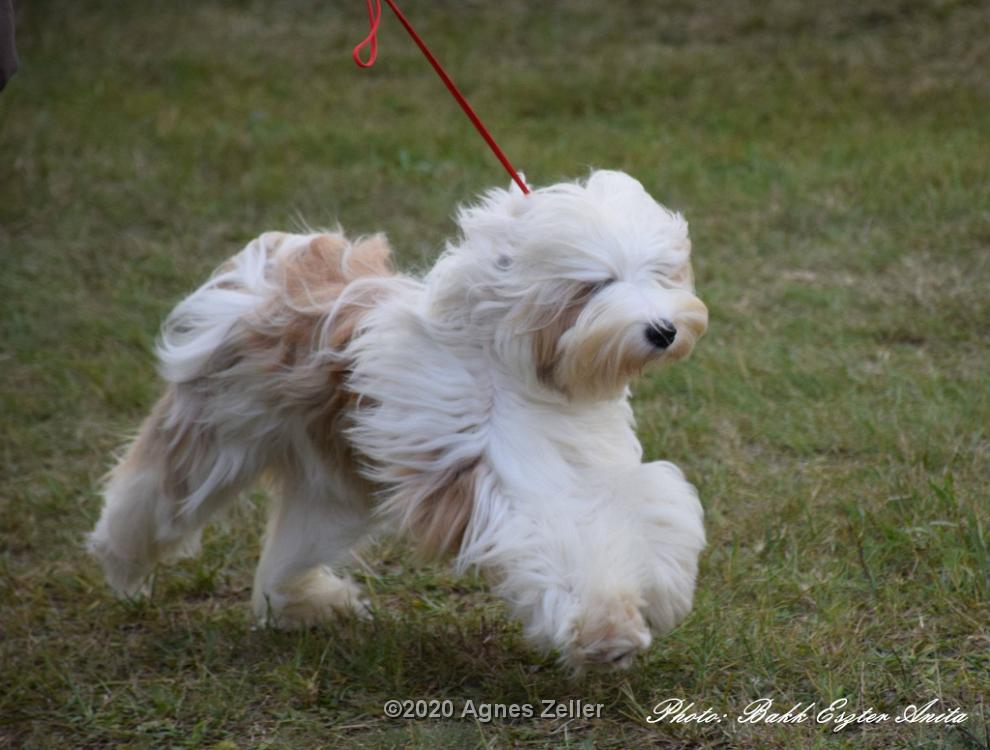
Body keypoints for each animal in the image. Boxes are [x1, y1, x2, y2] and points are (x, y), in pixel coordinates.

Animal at [85, 172, 704, 676]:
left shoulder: (589, 467)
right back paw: (122, 562)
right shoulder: (505, 481)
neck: (517, 369)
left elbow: (650, 506)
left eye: (660, 273)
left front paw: (659, 592)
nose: (663, 330)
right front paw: (607, 630)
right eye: (595, 284)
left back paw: (309, 604)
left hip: (332, 486)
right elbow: (565, 542)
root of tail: (284, 260)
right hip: (216, 433)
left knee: (290, 551)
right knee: (154, 493)